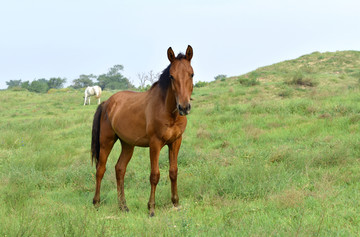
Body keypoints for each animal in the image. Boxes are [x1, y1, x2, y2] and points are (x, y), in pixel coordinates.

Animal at [91, 45, 195, 217]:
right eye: (172, 76)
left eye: (191, 74)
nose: (184, 107)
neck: (168, 111)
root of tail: (107, 102)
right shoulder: (155, 144)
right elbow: (154, 175)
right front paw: (151, 208)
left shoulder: (175, 142)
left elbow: (173, 172)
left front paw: (176, 203)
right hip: (106, 141)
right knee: (100, 169)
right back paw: (96, 203)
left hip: (127, 144)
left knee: (120, 169)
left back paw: (123, 206)